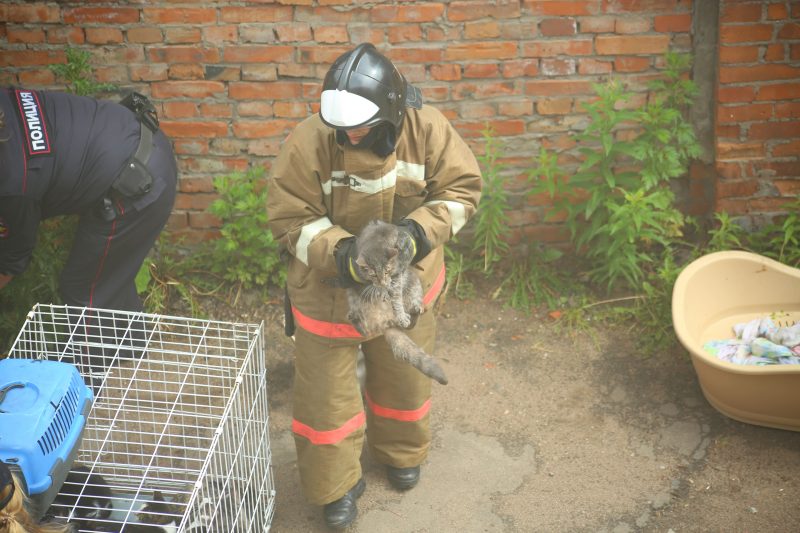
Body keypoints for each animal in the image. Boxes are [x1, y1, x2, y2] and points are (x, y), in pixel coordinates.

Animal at [346, 218, 450, 384]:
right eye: (373, 275)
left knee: (410, 319)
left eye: (387, 271)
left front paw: (396, 307)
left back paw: (413, 311)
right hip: (354, 301)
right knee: (362, 327)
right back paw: (355, 317)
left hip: (414, 286)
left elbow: (395, 296)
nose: (383, 283)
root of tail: (384, 323)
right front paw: (378, 290)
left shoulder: (397, 276)